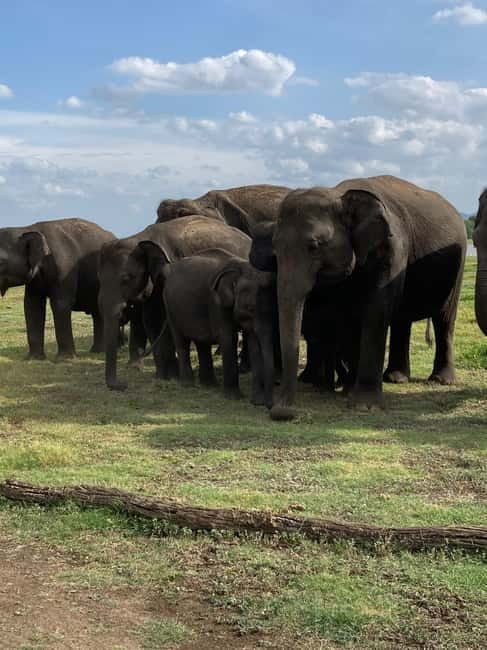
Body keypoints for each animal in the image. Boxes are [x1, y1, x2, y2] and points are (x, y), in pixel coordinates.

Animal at [0, 218, 116, 359]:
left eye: (0, 262)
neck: (27, 228)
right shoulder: (35, 280)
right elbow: (32, 305)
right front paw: (34, 359)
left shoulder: (65, 268)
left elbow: (60, 304)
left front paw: (64, 359)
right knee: (97, 312)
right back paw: (97, 351)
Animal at [98, 216, 251, 391]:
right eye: (98, 278)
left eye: (126, 279)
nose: (124, 384)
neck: (139, 238)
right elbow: (150, 319)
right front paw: (162, 377)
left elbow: (164, 319)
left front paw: (172, 377)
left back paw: (244, 369)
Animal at [149, 248, 275, 405]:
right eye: (250, 308)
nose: (269, 405)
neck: (241, 268)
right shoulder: (216, 303)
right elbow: (228, 338)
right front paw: (234, 397)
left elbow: (253, 342)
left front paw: (257, 401)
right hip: (170, 306)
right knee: (181, 341)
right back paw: (188, 384)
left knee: (202, 343)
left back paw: (209, 385)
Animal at [256, 175, 466, 420]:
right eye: (275, 249)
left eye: (314, 246)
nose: (281, 411)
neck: (339, 194)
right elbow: (346, 318)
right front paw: (349, 391)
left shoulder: (392, 249)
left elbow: (375, 311)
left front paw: (365, 406)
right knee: (401, 320)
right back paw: (395, 378)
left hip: (458, 266)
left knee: (444, 319)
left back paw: (441, 380)